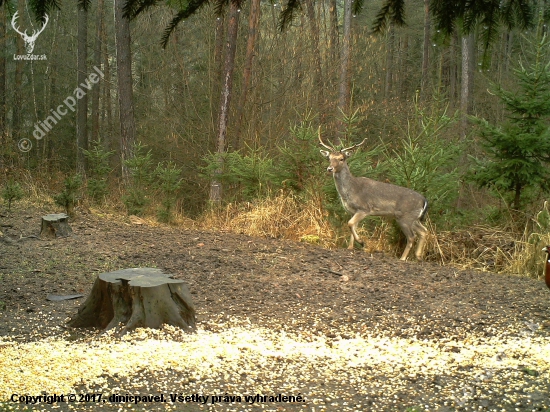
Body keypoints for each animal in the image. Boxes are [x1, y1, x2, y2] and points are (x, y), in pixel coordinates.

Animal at [320, 130, 432, 260]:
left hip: (405, 217)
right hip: (414, 218)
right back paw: (418, 256)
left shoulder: (364, 208)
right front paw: (350, 247)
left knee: (411, 236)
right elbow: (353, 225)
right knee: (424, 231)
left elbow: (350, 223)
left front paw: (362, 242)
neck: (350, 191)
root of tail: (424, 200)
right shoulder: (353, 211)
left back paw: (403, 258)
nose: (329, 168)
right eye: (329, 158)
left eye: (342, 158)